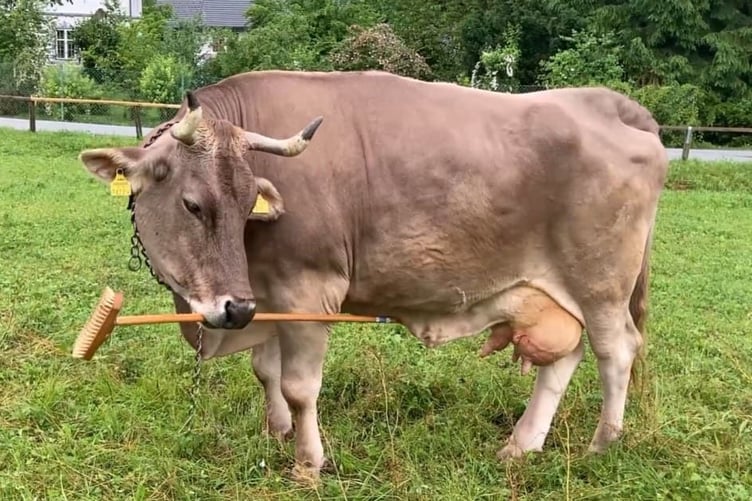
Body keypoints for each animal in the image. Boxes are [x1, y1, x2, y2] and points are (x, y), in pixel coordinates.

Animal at [77, 70, 668, 480]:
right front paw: (276, 432)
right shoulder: (266, 294)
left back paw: (603, 443)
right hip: (554, 294)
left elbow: (299, 386)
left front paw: (308, 462)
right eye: (194, 204)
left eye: (248, 204)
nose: (233, 309)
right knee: (564, 358)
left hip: (601, 285)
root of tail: (608, 102)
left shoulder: (307, 289)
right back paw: (522, 445)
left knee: (616, 351)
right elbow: (265, 371)